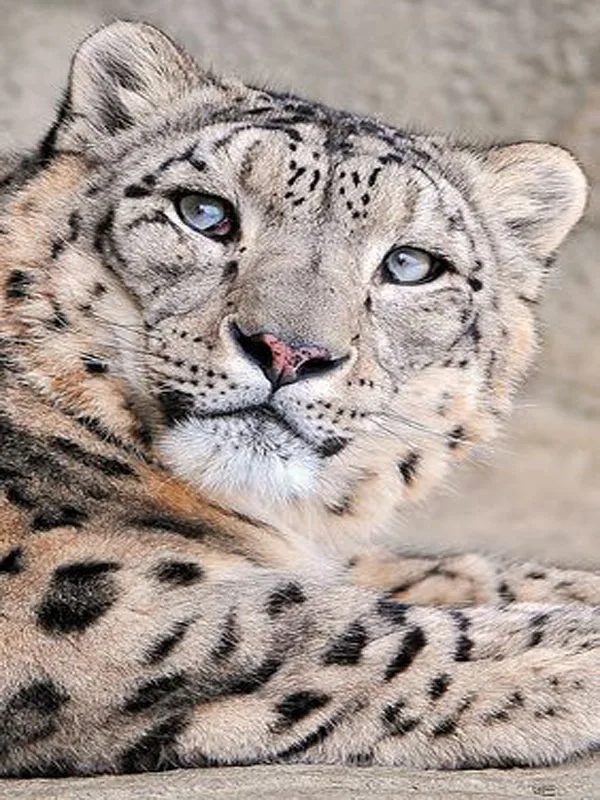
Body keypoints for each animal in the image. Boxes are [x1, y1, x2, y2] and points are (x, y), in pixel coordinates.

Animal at [1, 20, 599, 778]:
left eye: (410, 264)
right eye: (204, 212)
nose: (288, 351)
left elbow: (421, 571)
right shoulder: (82, 600)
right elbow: (325, 631)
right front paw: (581, 646)